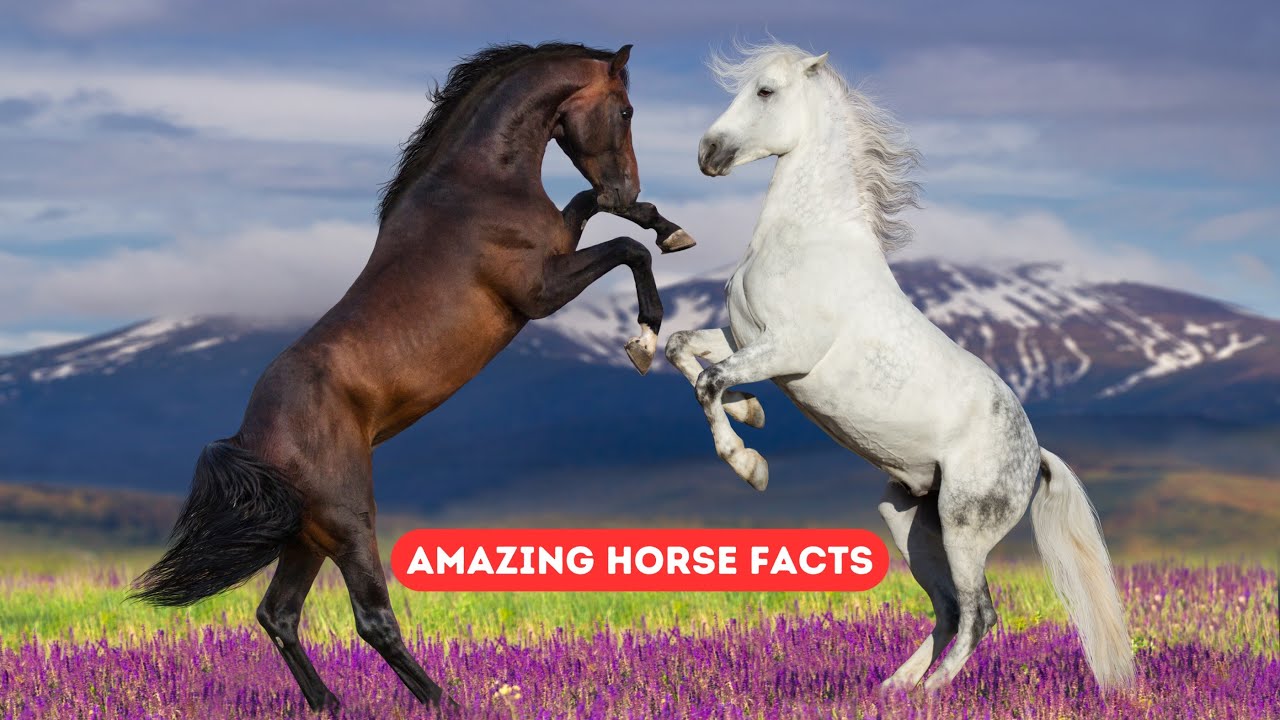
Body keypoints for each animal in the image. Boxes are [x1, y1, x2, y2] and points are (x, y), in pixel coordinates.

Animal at [131, 42, 697, 712]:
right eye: (627, 110)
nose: (626, 181)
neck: (479, 185)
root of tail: (251, 438)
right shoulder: (540, 291)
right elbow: (627, 250)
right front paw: (644, 338)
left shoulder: (561, 243)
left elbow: (600, 215)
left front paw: (666, 226)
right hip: (350, 521)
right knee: (371, 619)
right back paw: (445, 700)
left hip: (308, 535)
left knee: (279, 614)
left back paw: (331, 704)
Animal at [665, 41, 1135, 692]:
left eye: (765, 91)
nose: (708, 154)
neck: (807, 239)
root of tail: (1034, 455)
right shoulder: (744, 337)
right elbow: (681, 348)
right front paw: (752, 413)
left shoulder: (787, 351)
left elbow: (710, 380)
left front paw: (748, 464)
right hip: (908, 519)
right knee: (948, 608)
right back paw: (894, 688)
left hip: (965, 528)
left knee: (980, 613)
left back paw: (931, 692)